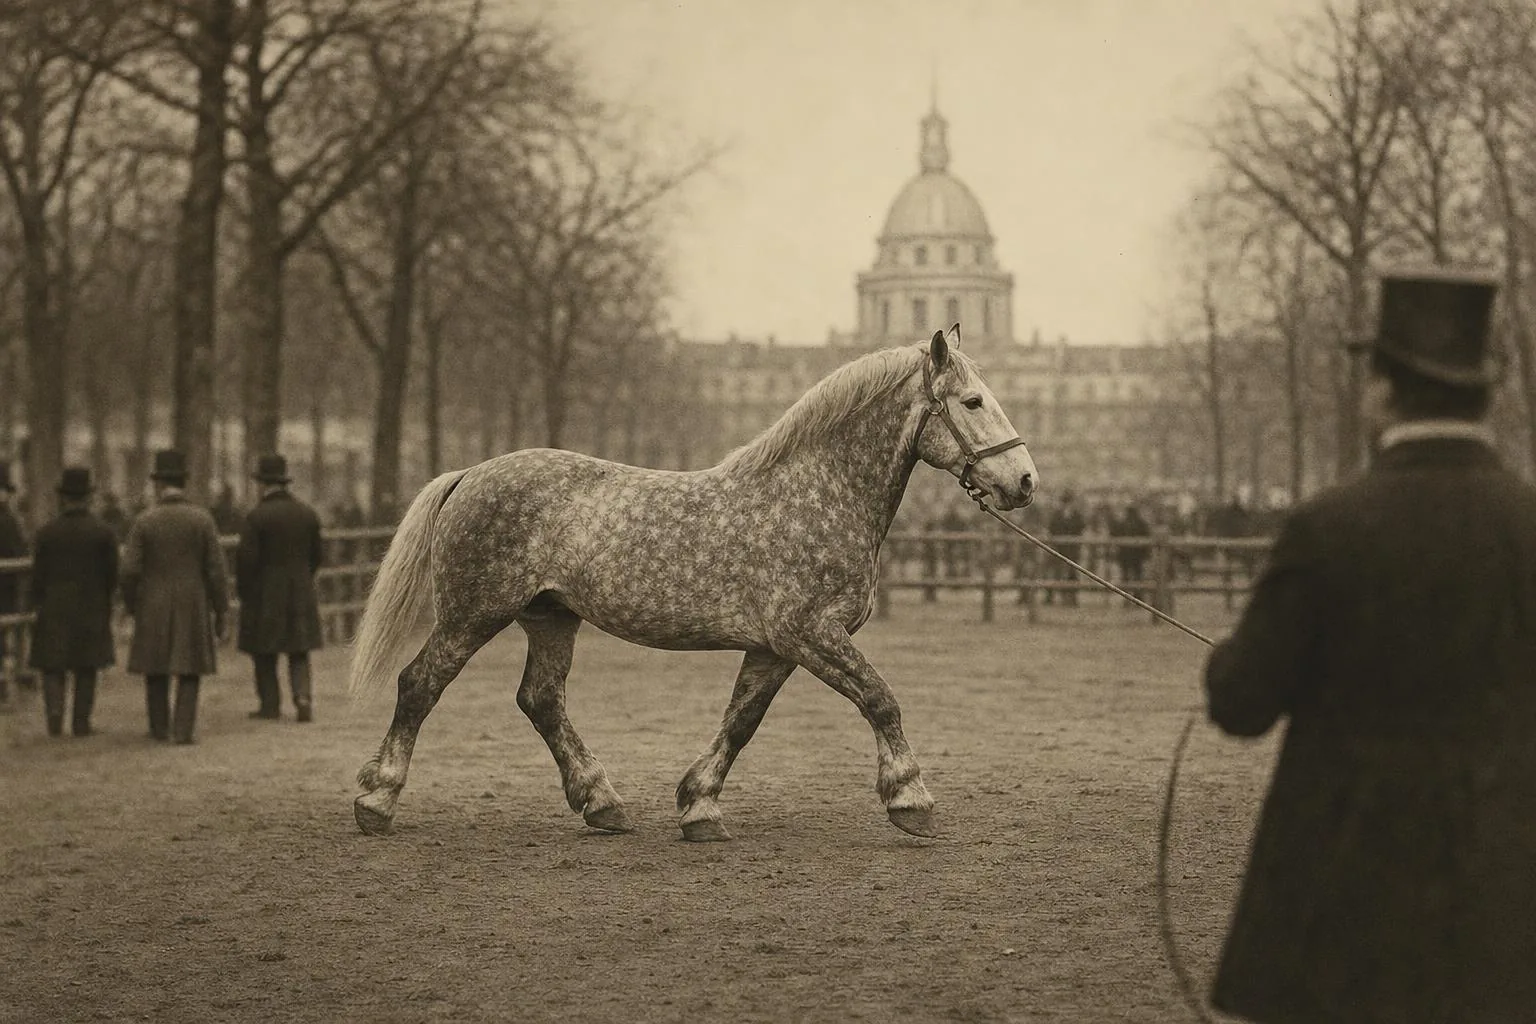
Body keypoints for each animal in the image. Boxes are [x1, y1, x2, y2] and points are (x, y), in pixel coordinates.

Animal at [348, 324, 1037, 841]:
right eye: (973, 402)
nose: (1025, 481)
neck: (815, 494)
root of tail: (468, 474)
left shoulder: (775, 648)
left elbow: (741, 722)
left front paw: (699, 806)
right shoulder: (811, 634)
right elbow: (880, 699)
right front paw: (910, 799)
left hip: (549, 616)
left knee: (541, 700)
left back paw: (603, 803)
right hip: (473, 614)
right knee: (421, 684)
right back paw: (377, 800)